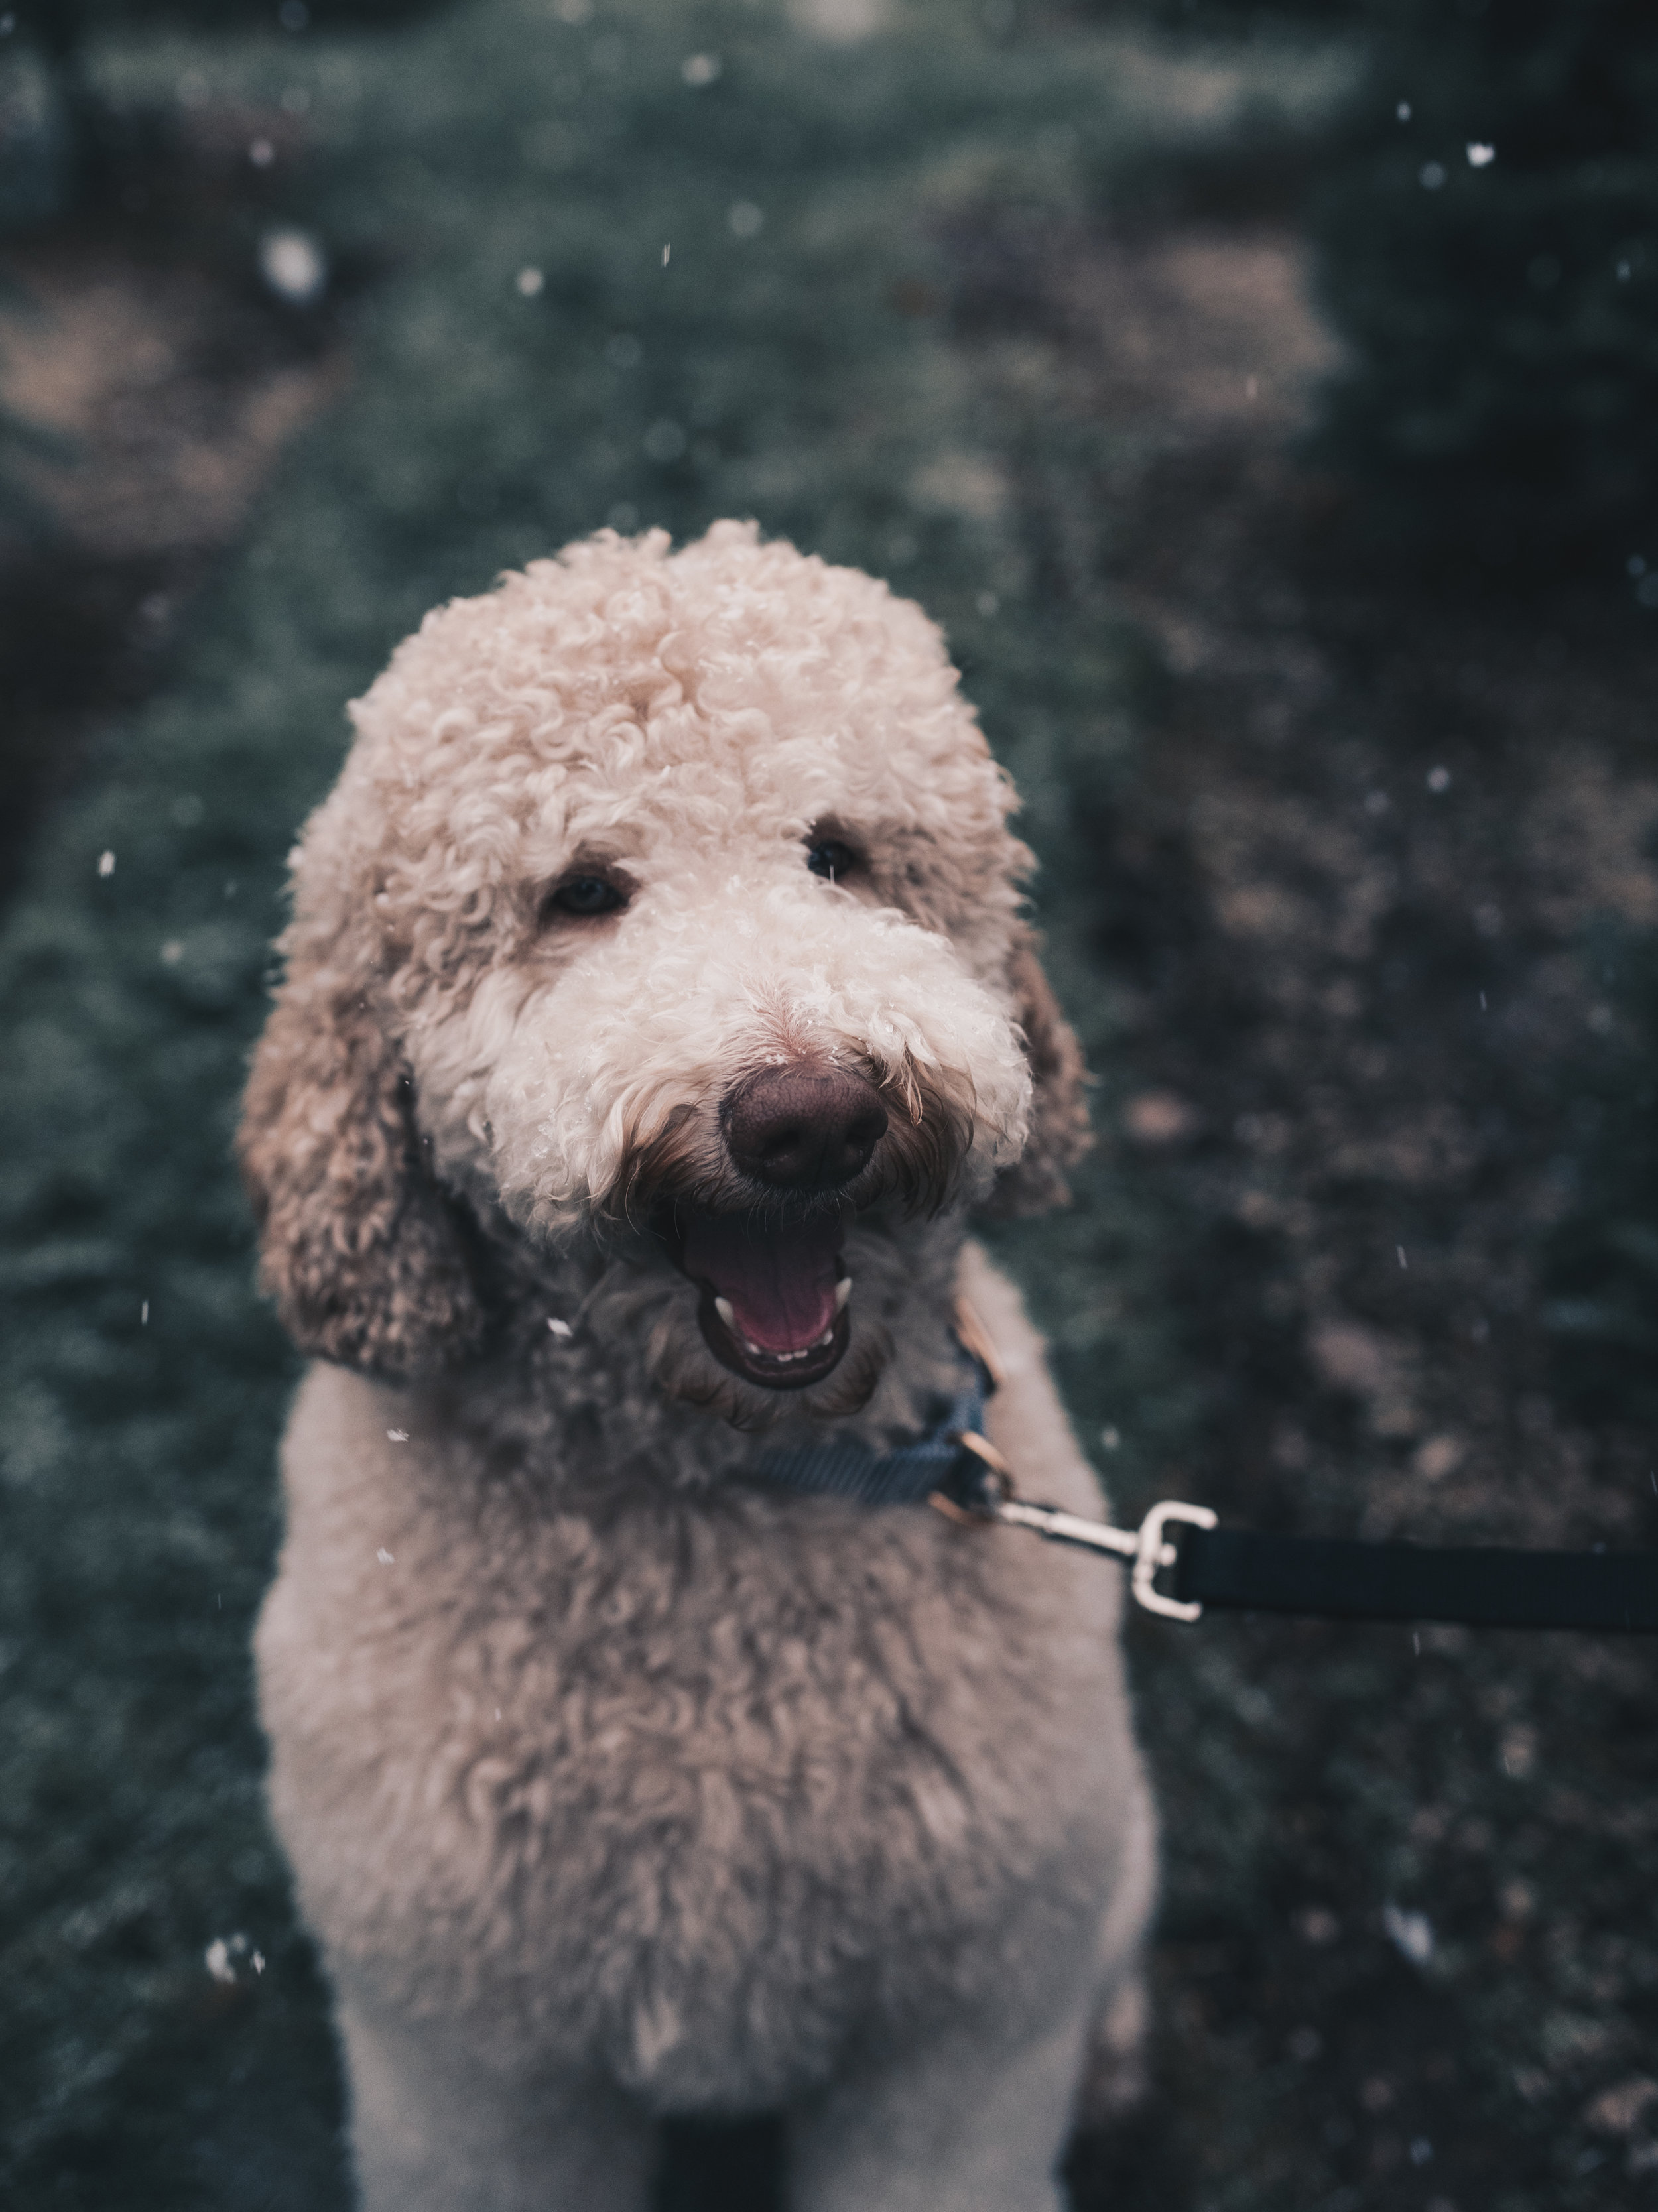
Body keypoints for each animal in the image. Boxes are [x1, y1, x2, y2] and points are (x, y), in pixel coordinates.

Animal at [242, 522, 1151, 2212]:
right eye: (580, 893)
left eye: (838, 854)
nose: (809, 1115)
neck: (716, 1499)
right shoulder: (475, 2065)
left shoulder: (963, 2032)